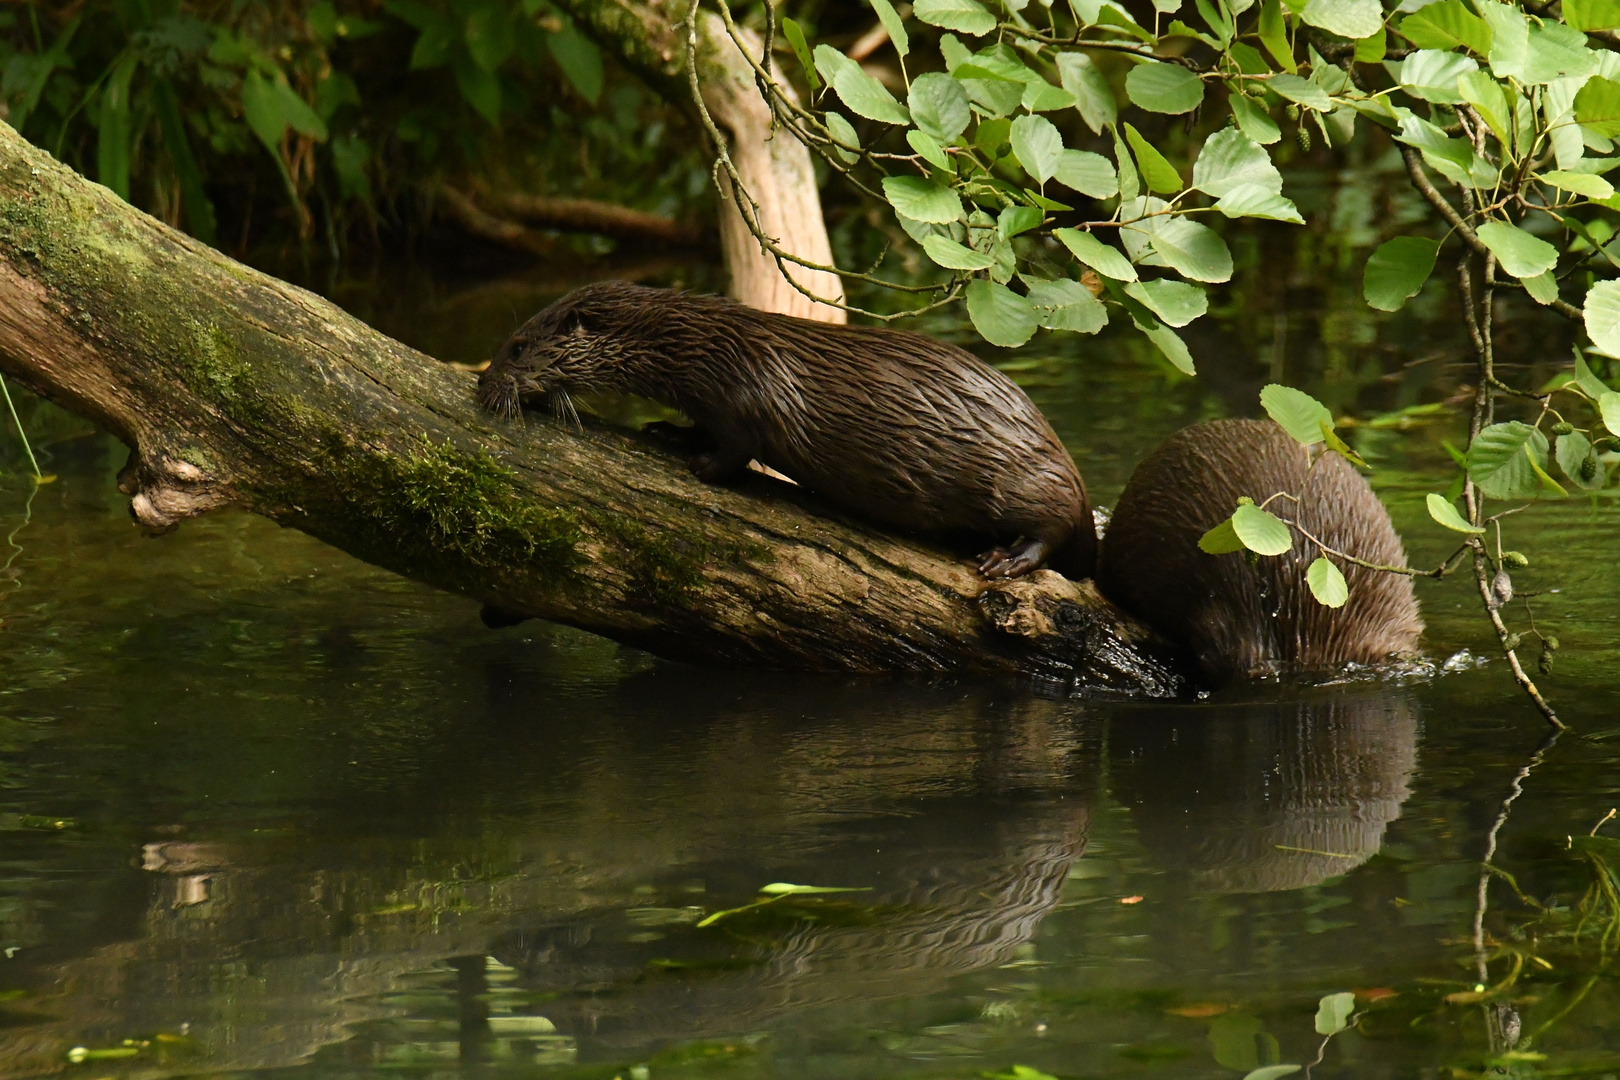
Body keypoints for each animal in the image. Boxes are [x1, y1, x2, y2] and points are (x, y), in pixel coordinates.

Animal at [473, 283, 1095, 579]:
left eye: (517, 347)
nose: (484, 384)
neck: (694, 347)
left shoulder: (745, 394)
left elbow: (739, 448)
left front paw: (700, 466)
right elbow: (700, 427)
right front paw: (667, 431)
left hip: (1026, 479)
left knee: (1056, 522)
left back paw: (1006, 560)